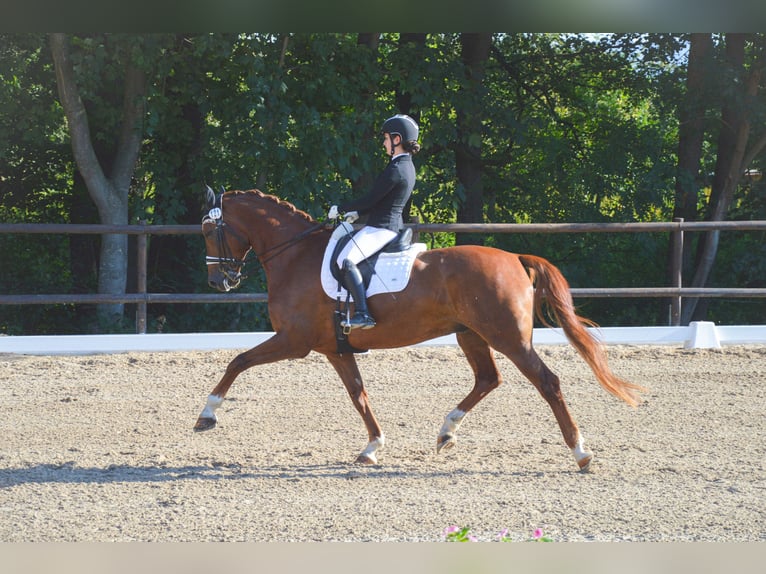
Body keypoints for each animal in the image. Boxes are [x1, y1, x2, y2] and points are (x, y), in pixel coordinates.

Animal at [195, 189, 644, 472]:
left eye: (206, 230)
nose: (219, 282)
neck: (295, 254)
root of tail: (514, 257)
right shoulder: (335, 349)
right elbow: (358, 395)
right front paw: (372, 448)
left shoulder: (295, 341)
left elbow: (238, 361)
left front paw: (207, 415)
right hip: (470, 334)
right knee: (488, 378)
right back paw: (446, 432)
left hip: (508, 338)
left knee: (547, 382)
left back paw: (581, 454)